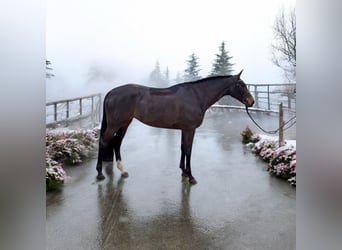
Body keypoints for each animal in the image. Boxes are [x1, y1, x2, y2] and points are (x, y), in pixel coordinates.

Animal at [96, 70, 254, 184]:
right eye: (241, 85)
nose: (251, 101)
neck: (196, 96)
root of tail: (111, 92)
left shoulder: (185, 129)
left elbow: (183, 148)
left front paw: (184, 172)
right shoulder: (190, 129)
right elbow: (189, 150)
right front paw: (191, 177)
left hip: (124, 123)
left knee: (117, 143)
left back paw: (123, 171)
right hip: (115, 124)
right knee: (103, 142)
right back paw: (99, 173)